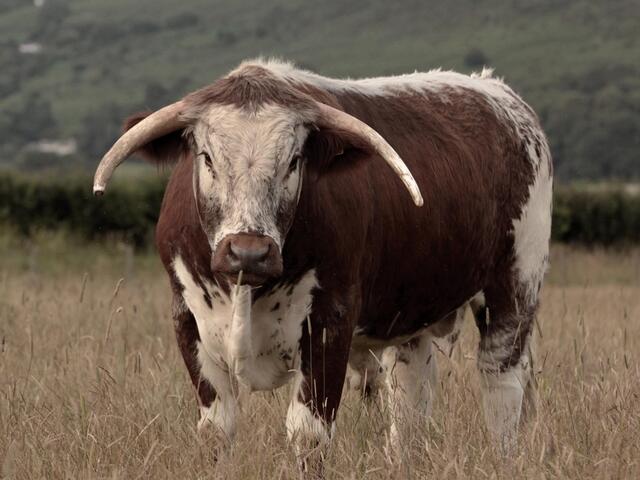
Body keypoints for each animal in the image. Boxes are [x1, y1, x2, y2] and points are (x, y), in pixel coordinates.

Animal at [93, 59, 552, 458]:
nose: (249, 252)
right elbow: (216, 431)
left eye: (294, 161)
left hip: (516, 284)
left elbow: (308, 434)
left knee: (501, 383)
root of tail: (498, 92)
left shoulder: (330, 323)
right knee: (410, 398)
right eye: (206, 157)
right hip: (412, 314)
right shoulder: (187, 321)